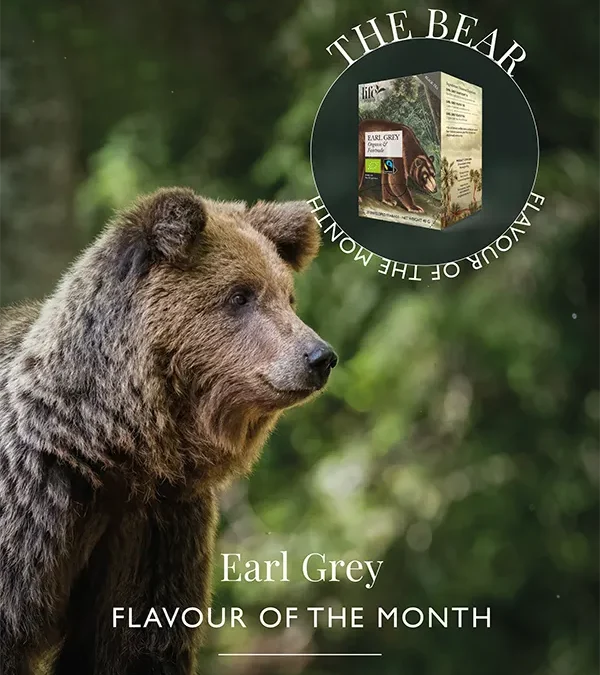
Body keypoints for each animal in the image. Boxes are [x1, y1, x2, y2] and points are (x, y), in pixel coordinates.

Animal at [0, 187, 337, 674]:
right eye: (241, 295)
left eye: (288, 297)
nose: (319, 356)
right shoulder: (31, 514)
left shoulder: (155, 529)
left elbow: (135, 647)